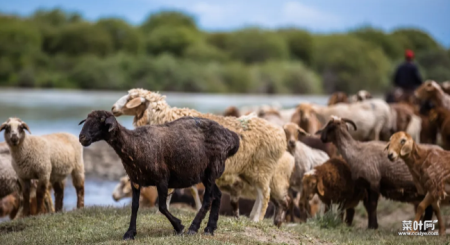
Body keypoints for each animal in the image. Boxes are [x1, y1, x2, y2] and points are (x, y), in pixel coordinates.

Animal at [78, 110, 239, 239]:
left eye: (101, 121)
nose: (82, 138)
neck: (134, 144)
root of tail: (232, 137)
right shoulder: (135, 180)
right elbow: (135, 206)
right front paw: (130, 233)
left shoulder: (162, 179)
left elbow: (162, 206)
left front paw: (179, 226)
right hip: (205, 175)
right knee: (217, 195)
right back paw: (209, 228)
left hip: (213, 168)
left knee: (207, 199)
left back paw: (193, 228)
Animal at [111, 88, 288, 222]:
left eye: (130, 98)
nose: (112, 108)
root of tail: (279, 133)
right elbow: (186, 190)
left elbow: (171, 191)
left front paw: (162, 211)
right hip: (253, 170)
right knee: (260, 193)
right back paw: (252, 217)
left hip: (261, 167)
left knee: (265, 194)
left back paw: (257, 219)